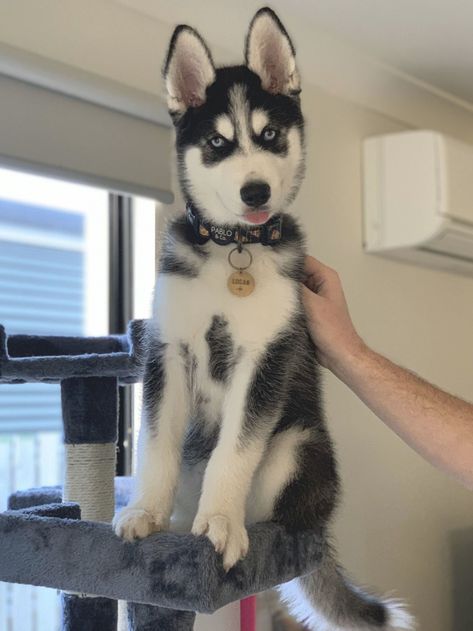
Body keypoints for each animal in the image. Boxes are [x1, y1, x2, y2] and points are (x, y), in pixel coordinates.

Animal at [113, 8, 412, 631]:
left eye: (271, 135)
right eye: (217, 143)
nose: (256, 191)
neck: (234, 249)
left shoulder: (268, 354)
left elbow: (235, 450)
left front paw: (221, 525)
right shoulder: (166, 350)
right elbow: (156, 440)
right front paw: (145, 512)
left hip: (298, 450)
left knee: (278, 517)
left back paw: (243, 528)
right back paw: (180, 520)